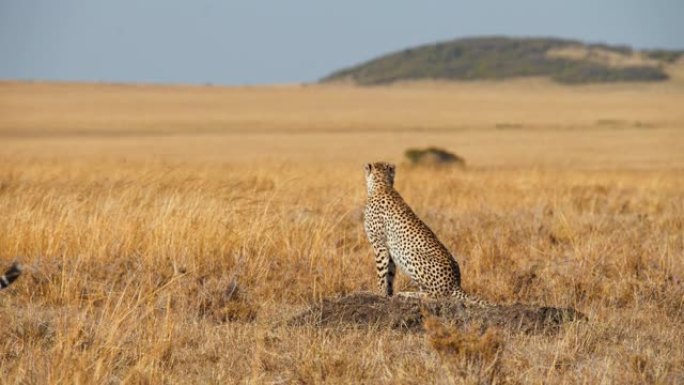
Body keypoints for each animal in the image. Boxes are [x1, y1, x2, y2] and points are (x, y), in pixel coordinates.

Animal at [364, 161, 492, 306]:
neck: (382, 185)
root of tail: (456, 283)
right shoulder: (388, 248)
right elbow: (390, 274)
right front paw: (389, 294)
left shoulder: (379, 245)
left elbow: (381, 273)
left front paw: (378, 293)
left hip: (411, 254)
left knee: (437, 296)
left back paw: (408, 294)